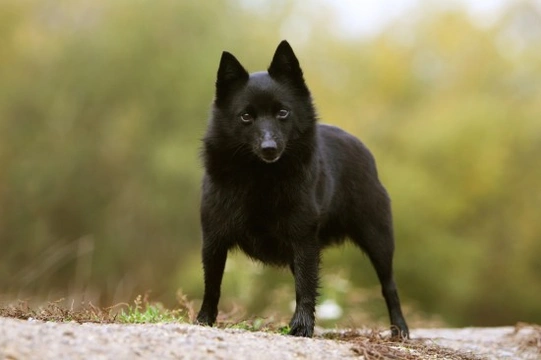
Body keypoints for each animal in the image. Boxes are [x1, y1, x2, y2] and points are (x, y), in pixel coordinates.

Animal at [196, 40, 408, 338]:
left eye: (283, 112)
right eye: (246, 116)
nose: (269, 148)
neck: (260, 177)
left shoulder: (303, 239)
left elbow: (306, 287)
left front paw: (302, 326)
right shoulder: (214, 239)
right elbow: (212, 285)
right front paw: (204, 320)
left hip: (378, 239)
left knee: (389, 285)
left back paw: (399, 329)